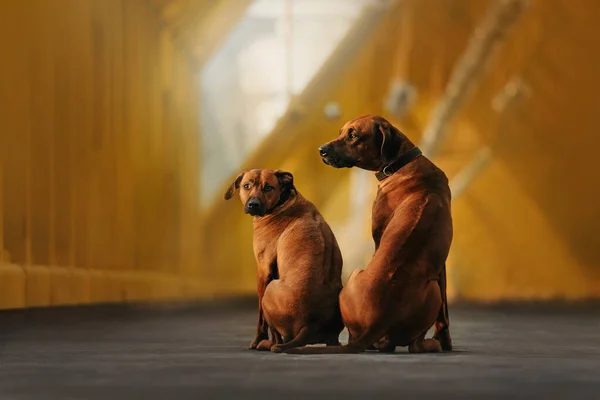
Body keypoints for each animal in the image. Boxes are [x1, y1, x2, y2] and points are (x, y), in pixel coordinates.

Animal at [225, 169, 344, 354]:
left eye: (268, 187)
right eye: (246, 186)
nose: (253, 204)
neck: (283, 201)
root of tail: (310, 325)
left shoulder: (263, 271)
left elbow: (261, 319)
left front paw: (257, 340)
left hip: (270, 289)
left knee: (276, 337)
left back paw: (266, 343)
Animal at [284, 115, 450, 354]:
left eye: (353, 135)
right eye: (341, 132)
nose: (321, 150)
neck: (401, 164)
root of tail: (378, 322)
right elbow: (444, 314)